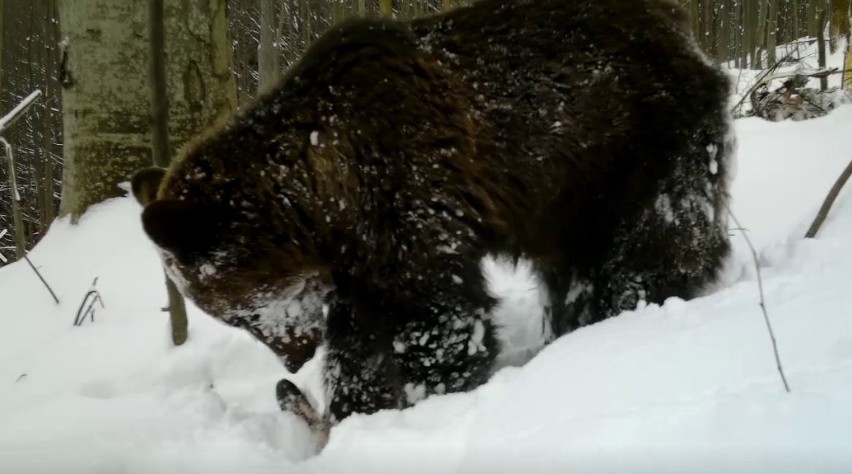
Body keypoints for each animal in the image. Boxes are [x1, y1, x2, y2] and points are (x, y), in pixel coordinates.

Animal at [131, 0, 732, 444]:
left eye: (233, 313)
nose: (294, 355)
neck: (326, 194)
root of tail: (682, 27)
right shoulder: (358, 261)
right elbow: (359, 344)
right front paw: (353, 408)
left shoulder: (410, 199)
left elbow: (439, 321)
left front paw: (428, 397)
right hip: (570, 197)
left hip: (632, 146)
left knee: (654, 242)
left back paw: (632, 309)